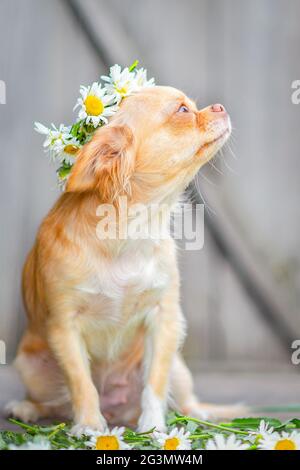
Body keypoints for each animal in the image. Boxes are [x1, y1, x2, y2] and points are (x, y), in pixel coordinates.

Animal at [4, 85, 244, 434]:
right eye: (182, 111)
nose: (220, 107)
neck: (131, 228)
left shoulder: (164, 320)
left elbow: (155, 382)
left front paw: (154, 428)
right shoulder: (64, 326)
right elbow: (81, 382)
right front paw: (90, 426)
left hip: (180, 369)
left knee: (185, 401)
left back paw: (198, 416)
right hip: (29, 366)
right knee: (55, 403)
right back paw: (27, 408)